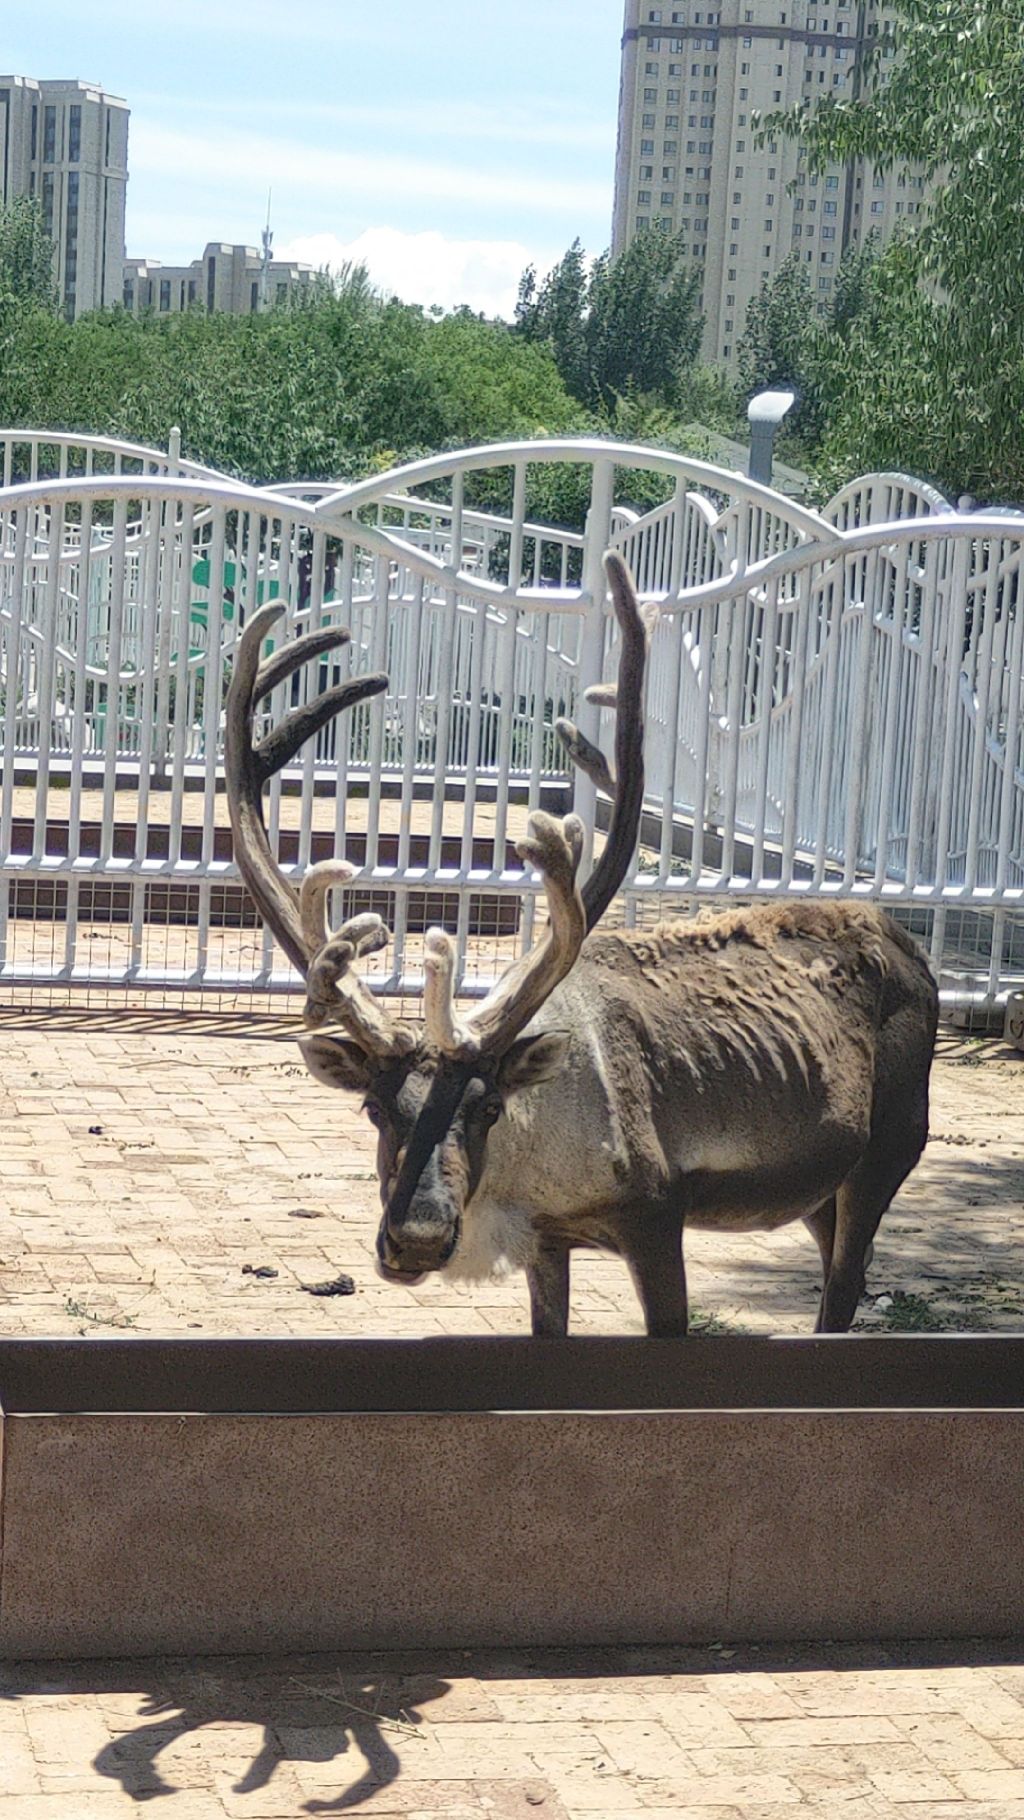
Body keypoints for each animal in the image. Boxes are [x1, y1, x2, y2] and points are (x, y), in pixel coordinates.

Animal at [224, 554, 939, 1337]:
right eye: (376, 1109)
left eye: (488, 1108)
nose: (415, 1239)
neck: (541, 1172)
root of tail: (911, 946)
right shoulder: (549, 1241)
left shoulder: (656, 1216)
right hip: (818, 1186)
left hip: (890, 1147)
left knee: (845, 1285)